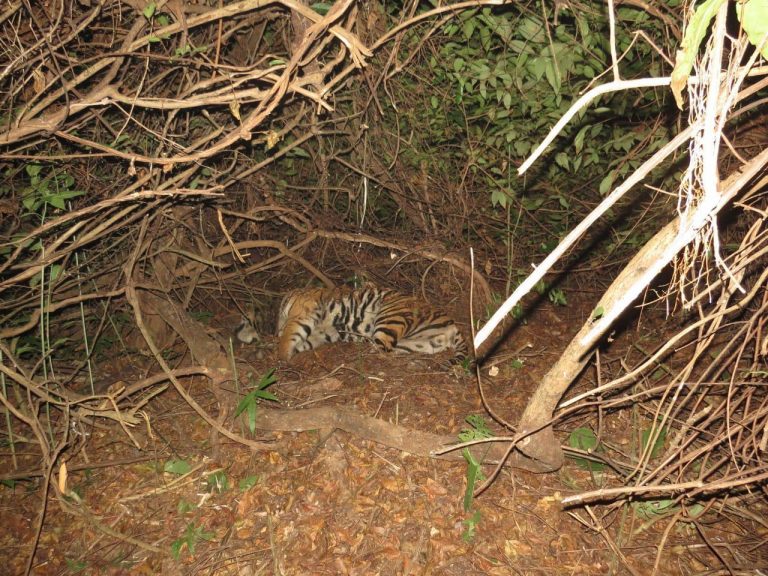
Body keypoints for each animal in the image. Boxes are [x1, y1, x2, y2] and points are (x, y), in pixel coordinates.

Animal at [241, 284, 470, 363]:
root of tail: (453, 324)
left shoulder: (301, 317)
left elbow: (288, 338)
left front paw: (280, 357)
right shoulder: (323, 333)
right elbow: (303, 342)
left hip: (390, 316)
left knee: (380, 349)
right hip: (417, 344)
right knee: (389, 351)